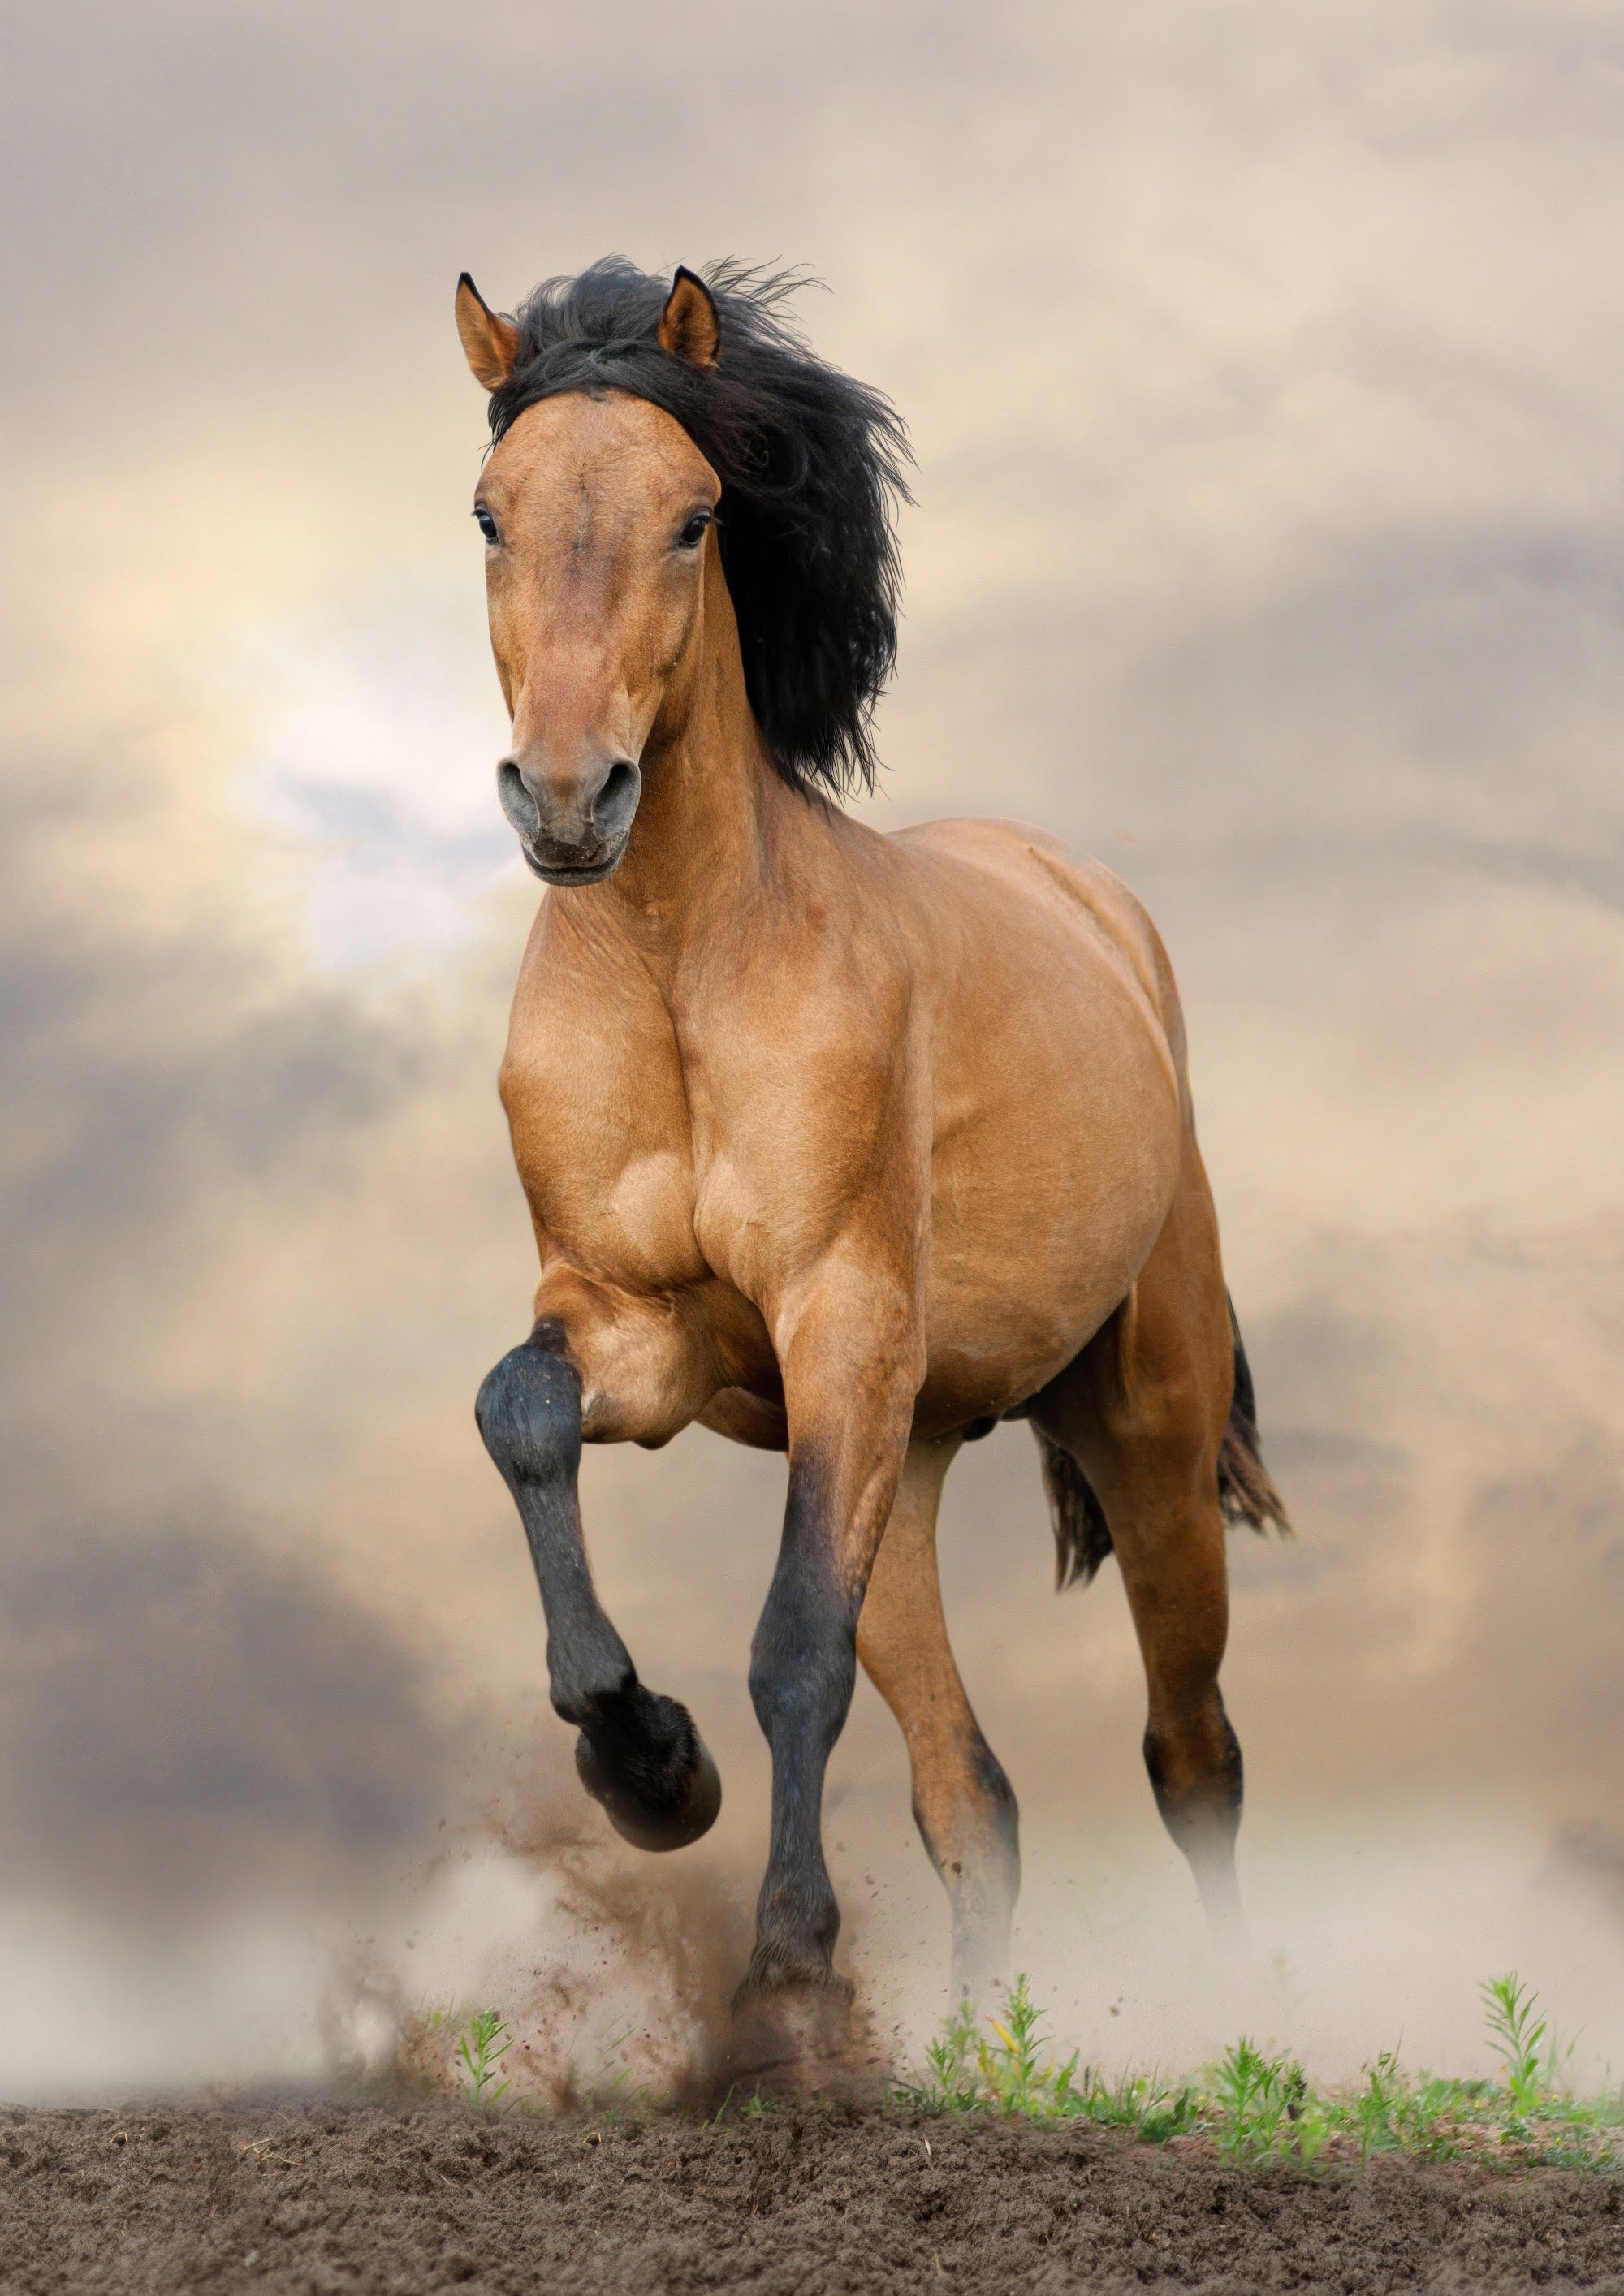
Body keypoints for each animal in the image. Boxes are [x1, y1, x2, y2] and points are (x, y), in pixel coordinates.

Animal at [454, 257, 1287, 2037]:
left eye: (697, 515)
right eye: (489, 512)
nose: (567, 799)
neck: (684, 969)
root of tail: (1096, 907)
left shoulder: (837, 1314)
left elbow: (790, 1652)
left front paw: (784, 1969)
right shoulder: (644, 1331)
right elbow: (522, 1415)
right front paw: (648, 1762)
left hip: (1145, 1434)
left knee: (1190, 1751)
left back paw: (1253, 2020)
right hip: (904, 1459)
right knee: (973, 1792)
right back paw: (973, 2047)